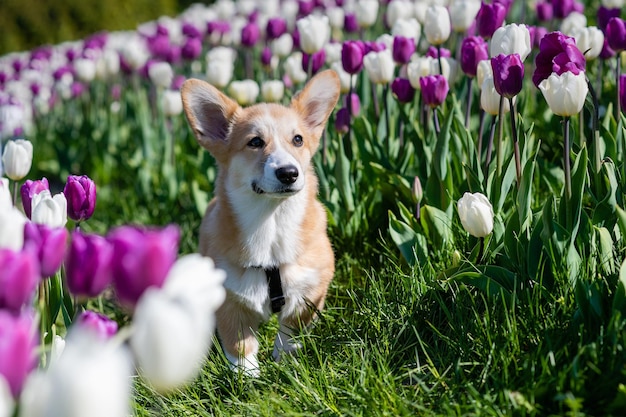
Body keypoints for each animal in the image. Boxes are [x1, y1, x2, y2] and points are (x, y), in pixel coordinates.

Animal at [178, 70, 338, 376]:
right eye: (255, 142)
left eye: (298, 140)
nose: (289, 173)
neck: (271, 224)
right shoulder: (229, 302)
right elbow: (240, 345)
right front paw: (248, 379)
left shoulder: (311, 291)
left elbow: (291, 331)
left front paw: (285, 362)